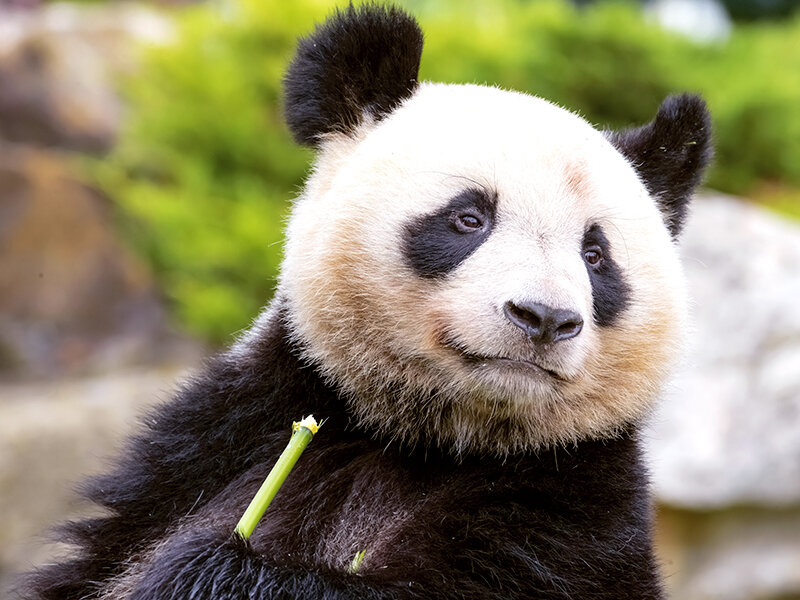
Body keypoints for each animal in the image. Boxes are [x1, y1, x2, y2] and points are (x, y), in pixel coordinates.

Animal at [25, 4, 712, 600]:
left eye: (595, 256)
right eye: (469, 218)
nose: (544, 318)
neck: (428, 435)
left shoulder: (567, 509)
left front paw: (208, 568)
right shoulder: (226, 437)